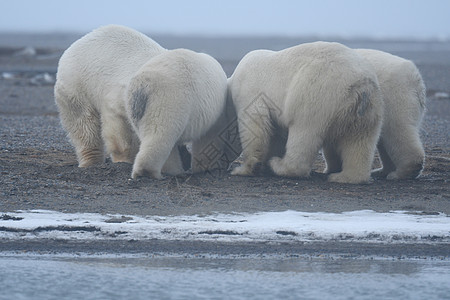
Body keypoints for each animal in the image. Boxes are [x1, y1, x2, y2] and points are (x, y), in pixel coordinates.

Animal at [54, 24, 166, 166]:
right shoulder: (126, 95)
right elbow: (118, 120)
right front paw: (124, 160)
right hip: (78, 86)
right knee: (85, 125)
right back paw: (91, 160)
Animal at [125, 47, 229, 178]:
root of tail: (143, 85)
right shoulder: (216, 113)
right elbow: (210, 136)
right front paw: (207, 167)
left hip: (134, 110)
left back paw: (172, 170)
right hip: (169, 99)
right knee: (160, 133)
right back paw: (147, 172)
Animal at [229, 41, 384, 184]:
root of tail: (361, 86)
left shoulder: (249, 90)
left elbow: (254, 126)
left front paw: (243, 169)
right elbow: (276, 133)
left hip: (316, 94)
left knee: (304, 134)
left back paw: (279, 165)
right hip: (368, 110)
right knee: (360, 141)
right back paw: (344, 176)